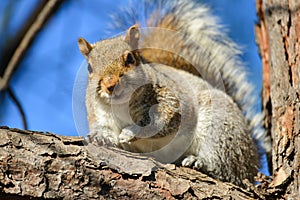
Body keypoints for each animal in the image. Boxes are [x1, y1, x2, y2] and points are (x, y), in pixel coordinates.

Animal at [76, 0, 268, 188]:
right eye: (89, 68)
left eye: (130, 58)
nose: (110, 85)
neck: (120, 105)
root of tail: (253, 160)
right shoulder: (98, 112)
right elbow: (104, 128)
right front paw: (100, 137)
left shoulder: (170, 99)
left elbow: (162, 121)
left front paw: (131, 132)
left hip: (221, 128)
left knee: (226, 167)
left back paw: (200, 162)